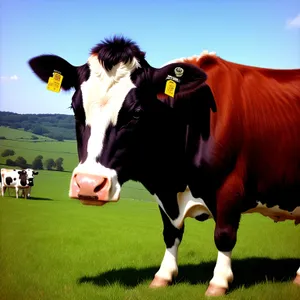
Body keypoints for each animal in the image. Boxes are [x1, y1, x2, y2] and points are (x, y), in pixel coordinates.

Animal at [28, 35, 300, 296]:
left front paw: (219, 282)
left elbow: (223, 236)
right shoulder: (164, 193)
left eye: (137, 112)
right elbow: (171, 234)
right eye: (76, 109)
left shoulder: (229, 188)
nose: (88, 184)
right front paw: (163, 276)